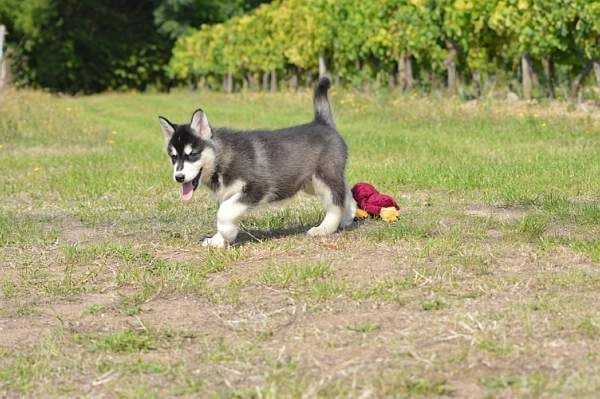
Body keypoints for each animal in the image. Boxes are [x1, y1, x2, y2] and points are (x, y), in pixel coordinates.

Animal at [158, 76, 356, 248]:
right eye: (173, 157)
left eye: (192, 154)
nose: (179, 177)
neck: (221, 158)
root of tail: (322, 122)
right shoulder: (226, 195)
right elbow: (224, 210)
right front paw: (217, 240)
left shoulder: (258, 187)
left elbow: (224, 213)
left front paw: (227, 234)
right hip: (310, 183)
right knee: (345, 191)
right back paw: (349, 215)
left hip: (324, 176)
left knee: (335, 201)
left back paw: (325, 228)